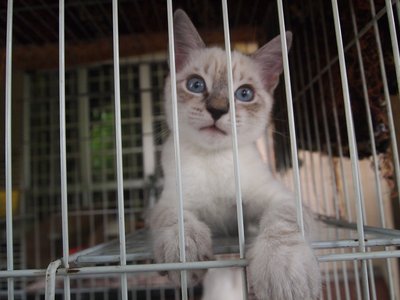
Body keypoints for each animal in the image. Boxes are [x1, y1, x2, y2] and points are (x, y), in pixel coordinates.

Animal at [148, 9, 320, 300]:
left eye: (244, 93)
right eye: (196, 85)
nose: (217, 109)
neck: (215, 158)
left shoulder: (278, 197)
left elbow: (284, 221)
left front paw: (283, 269)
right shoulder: (171, 199)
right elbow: (174, 217)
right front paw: (185, 252)